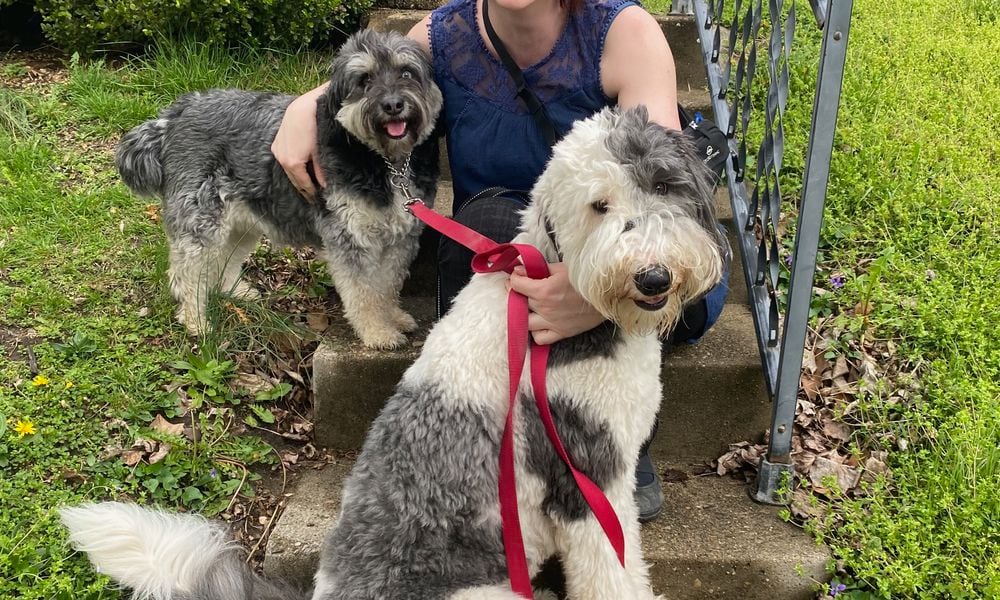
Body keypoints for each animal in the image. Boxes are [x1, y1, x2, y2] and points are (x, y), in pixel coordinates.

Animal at [118, 29, 442, 346]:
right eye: (365, 80)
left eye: (406, 72)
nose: (393, 105)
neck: (384, 161)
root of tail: (170, 118)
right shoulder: (350, 239)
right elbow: (365, 294)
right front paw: (378, 333)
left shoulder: (400, 239)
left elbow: (386, 286)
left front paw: (394, 317)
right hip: (201, 222)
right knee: (186, 273)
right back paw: (196, 321)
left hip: (241, 222)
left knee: (224, 259)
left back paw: (234, 292)